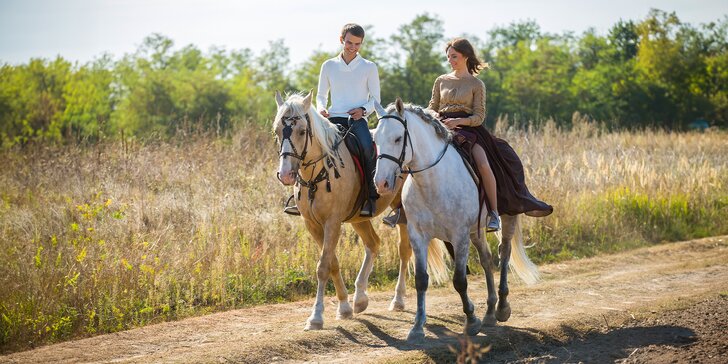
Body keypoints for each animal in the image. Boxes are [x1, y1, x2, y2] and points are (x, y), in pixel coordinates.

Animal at [272, 91, 450, 330]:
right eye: (277, 131)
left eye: (301, 131)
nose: (285, 175)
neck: (320, 173)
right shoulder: (313, 225)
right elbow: (333, 262)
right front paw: (344, 307)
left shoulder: (332, 222)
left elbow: (323, 266)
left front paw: (316, 317)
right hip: (359, 218)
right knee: (373, 244)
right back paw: (360, 299)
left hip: (402, 212)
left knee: (404, 251)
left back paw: (398, 300)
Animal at [372, 99, 536, 342]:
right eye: (375, 140)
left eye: (398, 138)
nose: (381, 183)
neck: (432, 181)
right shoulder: (418, 235)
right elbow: (421, 280)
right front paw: (417, 327)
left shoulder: (459, 236)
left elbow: (459, 280)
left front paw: (471, 321)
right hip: (475, 232)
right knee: (487, 259)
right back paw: (490, 312)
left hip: (507, 218)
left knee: (504, 253)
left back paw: (502, 308)